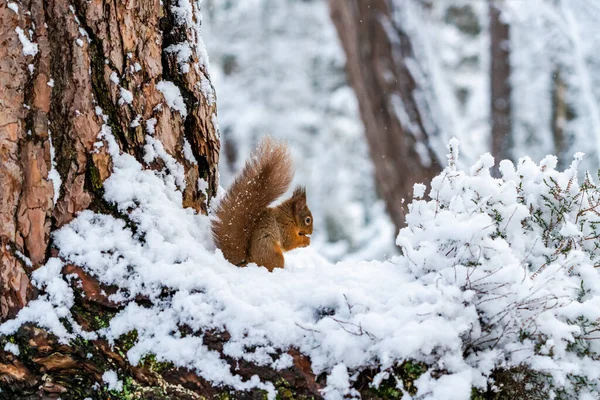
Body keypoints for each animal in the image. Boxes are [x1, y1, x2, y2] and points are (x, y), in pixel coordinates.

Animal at [212, 138, 314, 272]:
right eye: (308, 220)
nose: (311, 232)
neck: (290, 216)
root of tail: (250, 262)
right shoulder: (284, 227)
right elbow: (289, 242)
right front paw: (306, 240)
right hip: (274, 255)